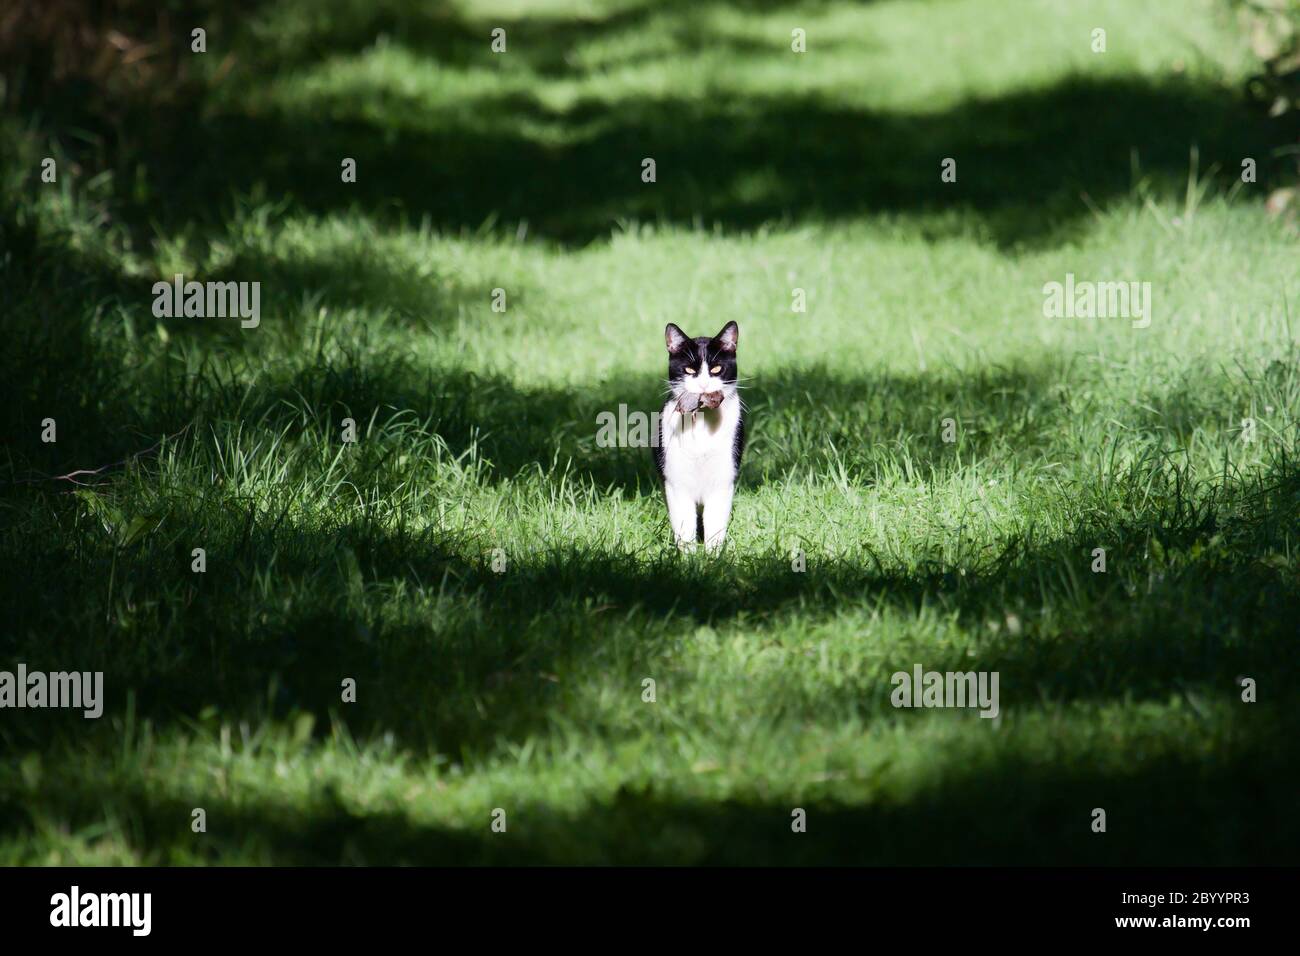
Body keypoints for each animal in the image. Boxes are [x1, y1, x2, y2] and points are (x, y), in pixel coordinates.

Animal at [650, 321, 743, 548]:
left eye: (716, 368)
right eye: (689, 369)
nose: (703, 385)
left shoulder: (723, 481)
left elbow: (715, 526)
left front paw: (714, 556)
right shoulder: (675, 483)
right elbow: (684, 526)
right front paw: (688, 556)